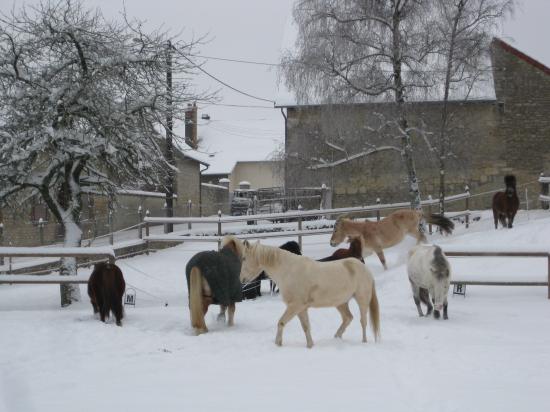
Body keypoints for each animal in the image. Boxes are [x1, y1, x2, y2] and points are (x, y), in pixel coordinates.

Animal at [239, 238, 382, 348]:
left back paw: (363, 342)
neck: (288, 270)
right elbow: (306, 326)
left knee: (363, 321)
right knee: (348, 318)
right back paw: (336, 337)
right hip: (341, 303)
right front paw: (310, 345)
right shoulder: (301, 308)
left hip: (362, 300)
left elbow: (281, 322)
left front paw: (278, 343)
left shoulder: (295, 306)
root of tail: (365, 269)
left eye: (244, 258)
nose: (241, 280)